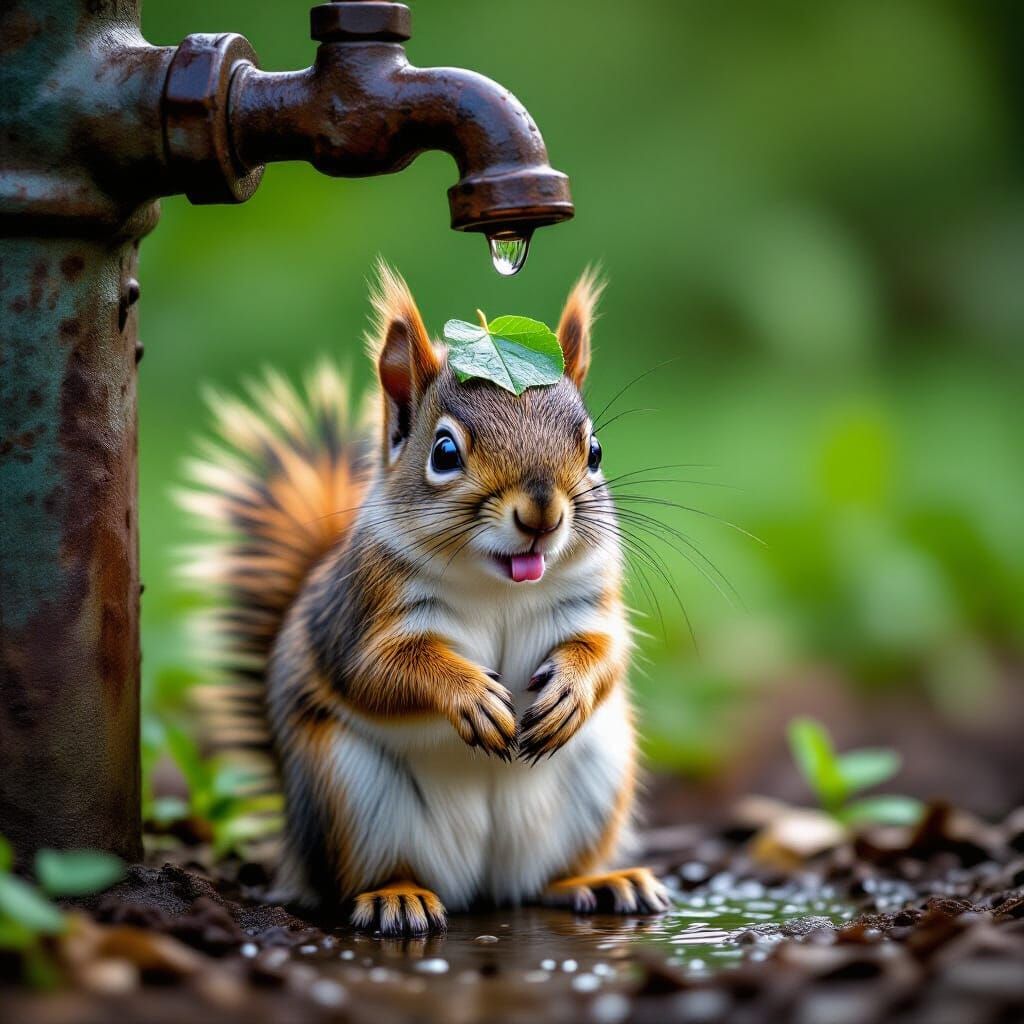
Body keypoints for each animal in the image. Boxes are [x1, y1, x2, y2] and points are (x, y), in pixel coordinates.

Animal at [180, 262, 670, 935]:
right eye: (444, 453)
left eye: (594, 451)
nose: (542, 513)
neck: (499, 586)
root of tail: (484, 886)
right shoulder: (358, 615)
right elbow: (376, 672)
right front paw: (471, 697)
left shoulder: (590, 598)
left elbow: (608, 649)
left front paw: (572, 690)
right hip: (350, 796)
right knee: (359, 880)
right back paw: (397, 896)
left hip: (596, 779)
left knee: (548, 878)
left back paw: (597, 880)